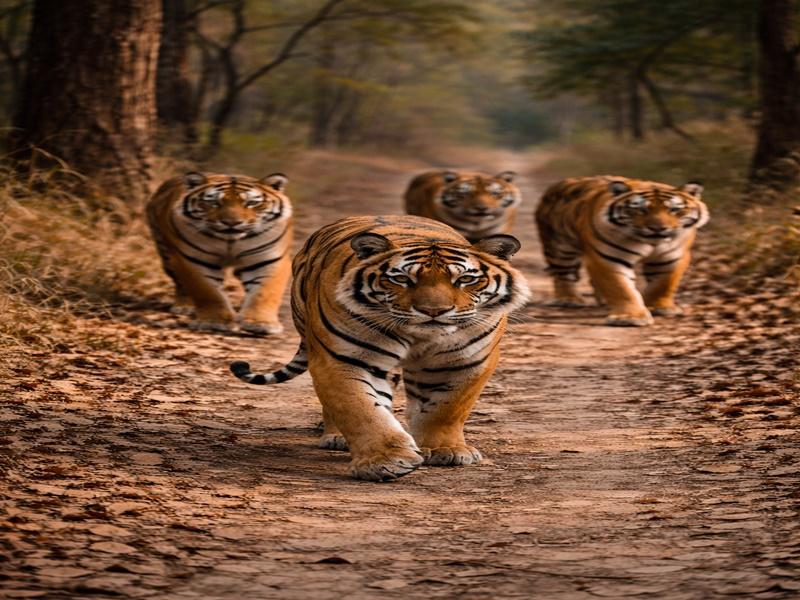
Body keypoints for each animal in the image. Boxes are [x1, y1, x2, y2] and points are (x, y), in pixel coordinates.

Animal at [146, 172, 292, 334]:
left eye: (251, 203)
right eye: (214, 202)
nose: (231, 223)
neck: (231, 242)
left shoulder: (268, 259)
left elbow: (265, 291)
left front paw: (260, 322)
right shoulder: (193, 260)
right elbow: (208, 291)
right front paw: (215, 322)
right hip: (167, 255)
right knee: (181, 283)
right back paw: (185, 306)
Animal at [229, 215, 530, 481]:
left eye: (466, 280)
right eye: (401, 279)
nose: (433, 311)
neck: (420, 338)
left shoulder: (467, 361)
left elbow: (447, 408)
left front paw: (445, 450)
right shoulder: (343, 358)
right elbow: (360, 408)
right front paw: (385, 460)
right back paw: (337, 437)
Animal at [535, 176, 709, 326]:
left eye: (673, 209)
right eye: (640, 209)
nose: (657, 228)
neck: (651, 243)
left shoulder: (672, 257)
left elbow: (663, 284)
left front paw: (659, 307)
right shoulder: (608, 257)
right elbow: (620, 287)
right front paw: (630, 317)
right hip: (560, 248)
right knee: (563, 274)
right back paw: (569, 299)